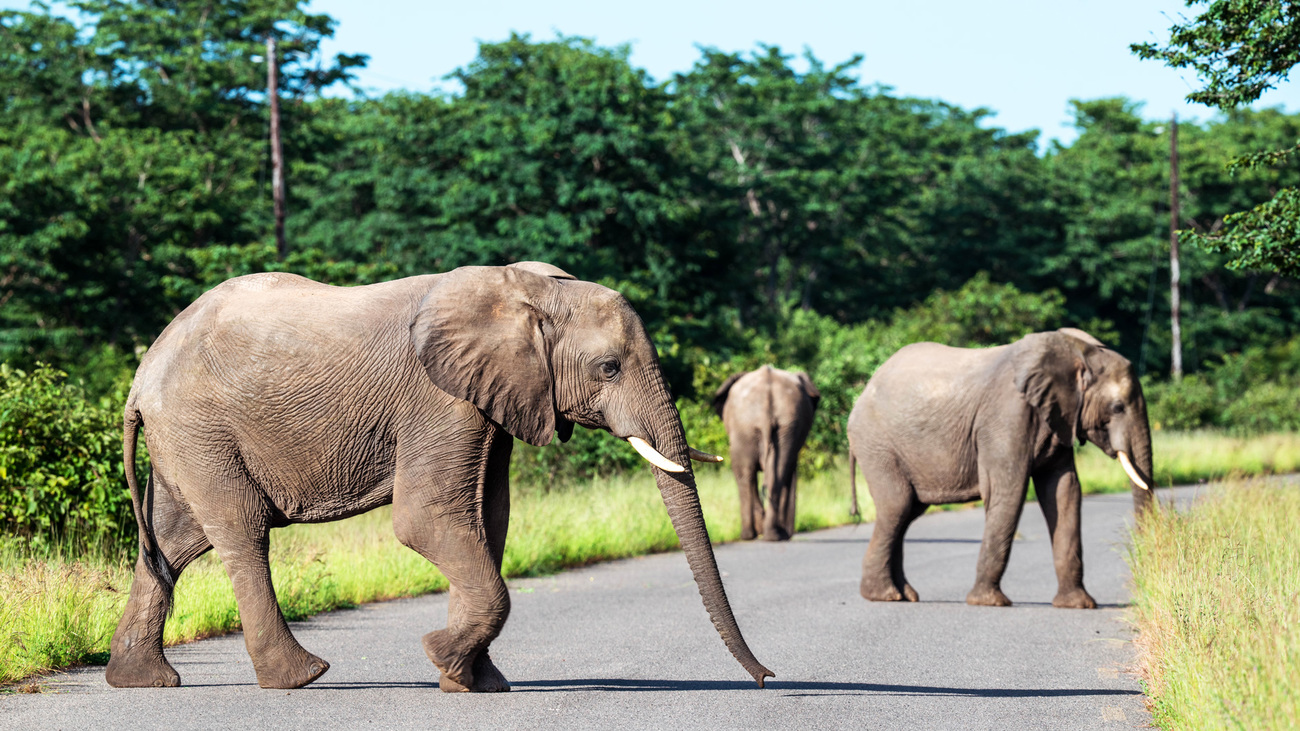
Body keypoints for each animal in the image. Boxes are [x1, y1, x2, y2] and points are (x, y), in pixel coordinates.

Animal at [106, 260, 769, 686]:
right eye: (608, 368)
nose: (767, 677)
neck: (529, 290)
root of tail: (141, 376)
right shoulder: (437, 397)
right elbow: (425, 520)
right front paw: (440, 658)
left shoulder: (493, 397)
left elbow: (488, 520)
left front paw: (476, 682)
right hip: (202, 428)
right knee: (242, 531)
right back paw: (300, 677)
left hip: (187, 437)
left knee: (173, 539)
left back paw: (142, 681)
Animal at [712, 364, 821, 541]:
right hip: (764, 426)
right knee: (761, 475)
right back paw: (767, 535)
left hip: (760, 426)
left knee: (748, 474)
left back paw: (762, 535)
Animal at [847, 327, 1154, 606]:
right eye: (1117, 408)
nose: (1143, 563)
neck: (1078, 352)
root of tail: (863, 391)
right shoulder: (1006, 417)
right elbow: (1008, 492)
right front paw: (989, 602)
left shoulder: (1057, 419)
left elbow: (1064, 492)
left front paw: (1078, 605)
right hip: (877, 445)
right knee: (897, 506)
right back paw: (884, 596)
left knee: (908, 511)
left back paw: (904, 595)